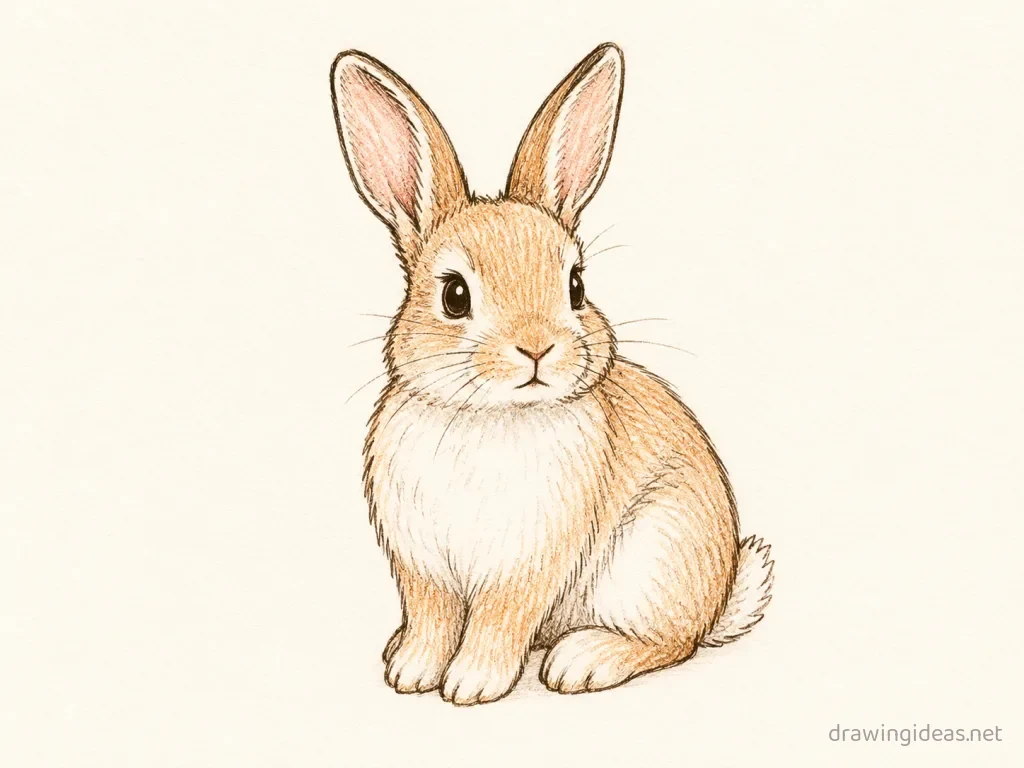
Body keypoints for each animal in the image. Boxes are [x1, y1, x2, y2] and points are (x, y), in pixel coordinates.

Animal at [330, 42, 773, 706]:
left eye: (576, 286)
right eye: (454, 295)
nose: (538, 348)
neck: (491, 417)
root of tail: (720, 596)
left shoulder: (526, 567)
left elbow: (498, 621)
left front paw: (472, 684)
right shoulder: (421, 566)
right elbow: (432, 619)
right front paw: (410, 672)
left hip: (654, 558)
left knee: (673, 642)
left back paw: (583, 661)